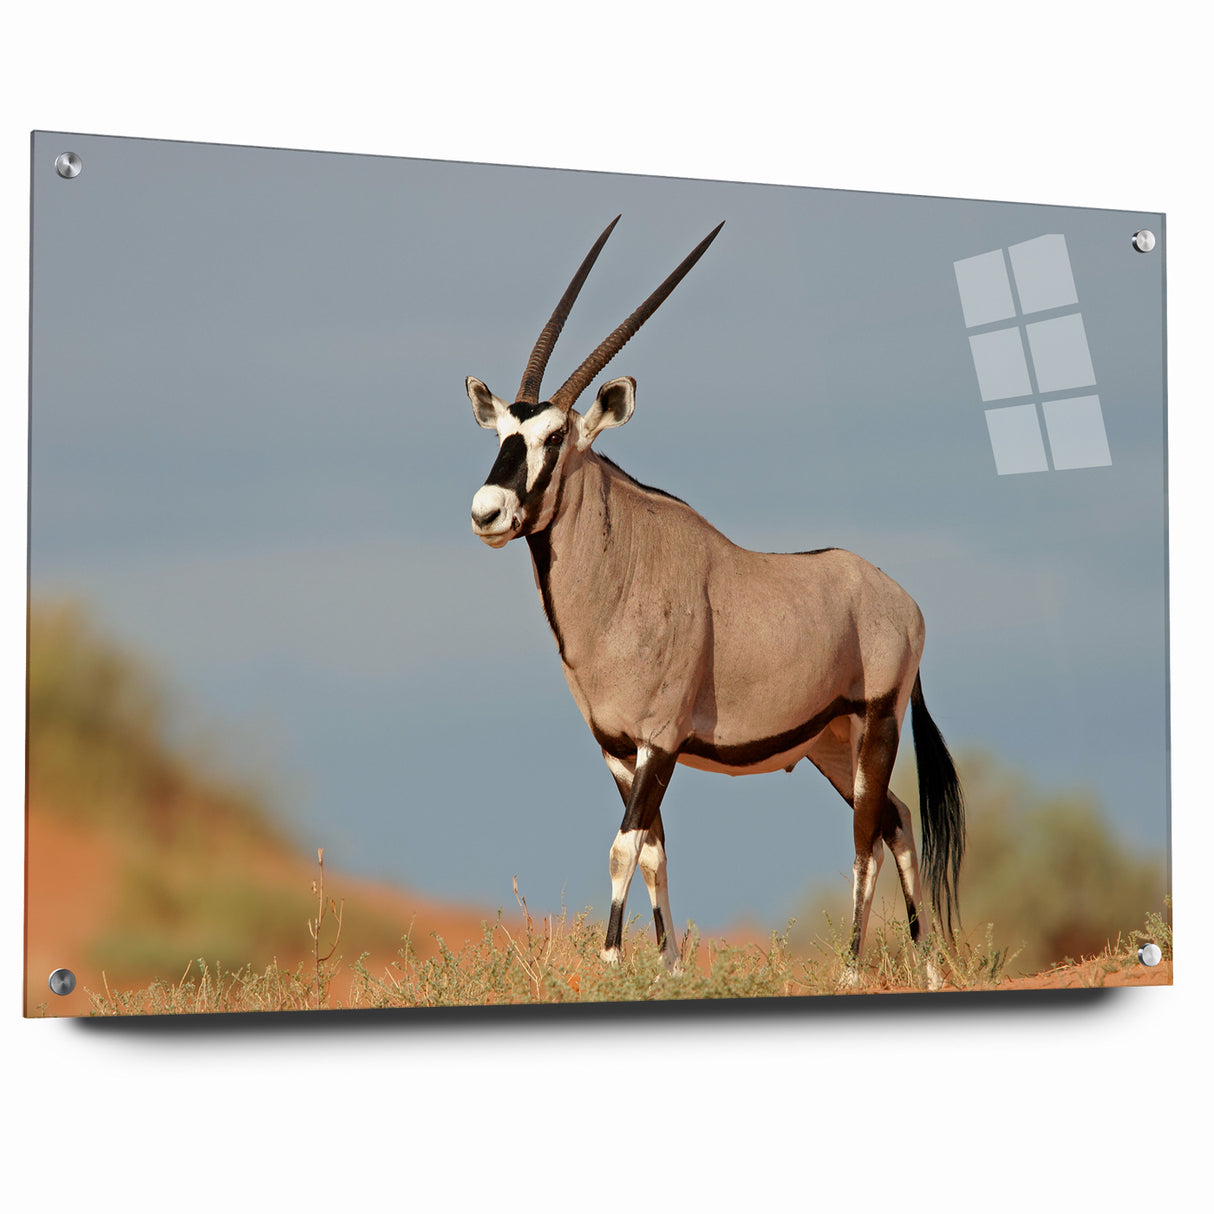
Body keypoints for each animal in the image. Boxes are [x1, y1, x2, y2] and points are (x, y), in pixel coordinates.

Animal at [465, 216, 964, 978]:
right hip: (831, 744)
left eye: (553, 436)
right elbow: (653, 852)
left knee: (864, 839)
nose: (487, 512)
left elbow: (623, 847)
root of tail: (901, 601)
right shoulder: (617, 748)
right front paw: (667, 969)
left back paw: (852, 967)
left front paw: (610, 963)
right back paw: (928, 968)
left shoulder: (661, 741)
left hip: (877, 722)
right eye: (500, 433)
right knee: (896, 821)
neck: (622, 571)